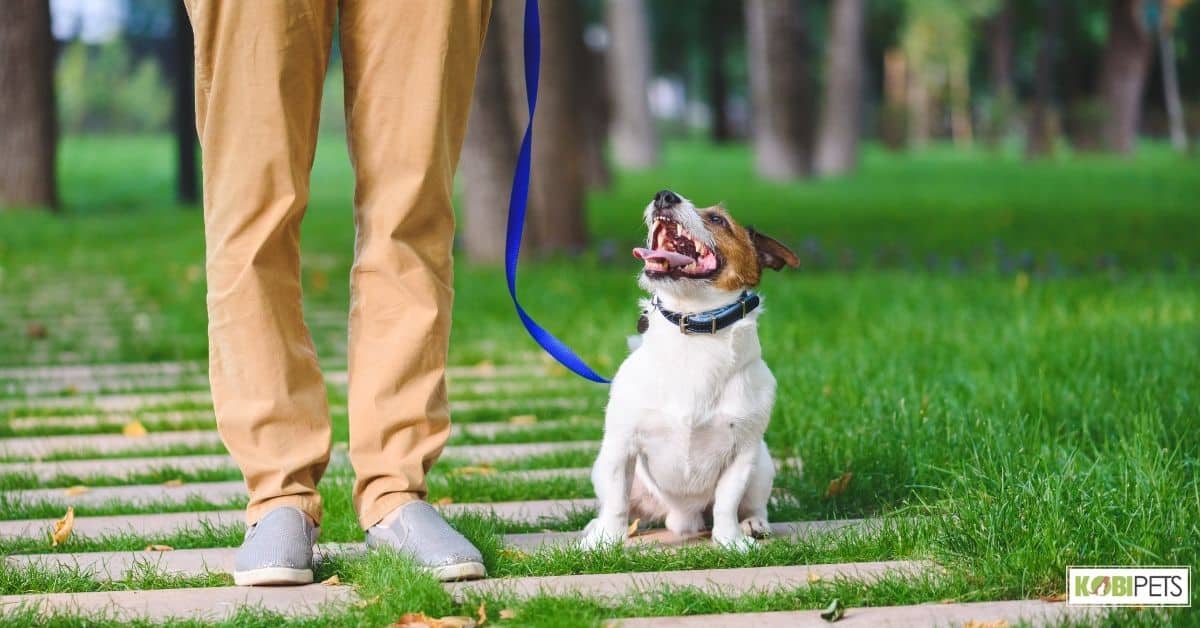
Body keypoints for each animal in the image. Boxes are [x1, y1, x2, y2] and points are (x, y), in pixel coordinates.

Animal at [578, 188, 796, 549]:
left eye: (718, 219)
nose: (664, 196)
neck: (694, 326)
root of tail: (681, 519)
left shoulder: (743, 454)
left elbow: (726, 502)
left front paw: (730, 541)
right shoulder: (621, 446)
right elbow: (616, 502)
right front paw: (604, 542)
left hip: (763, 464)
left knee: (752, 503)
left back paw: (753, 523)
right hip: (606, 467)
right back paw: (598, 527)